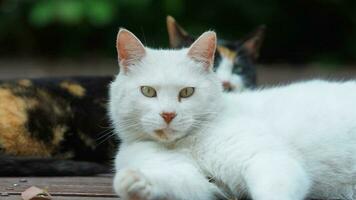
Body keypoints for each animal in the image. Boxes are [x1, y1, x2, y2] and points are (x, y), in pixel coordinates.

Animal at [110, 28, 356, 200]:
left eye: (187, 92)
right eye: (148, 91)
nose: (168, 114)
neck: (186, 145)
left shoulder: (270, 158)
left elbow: (273, 191)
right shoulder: (195, 182)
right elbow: (175, 183)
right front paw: (135, 183)